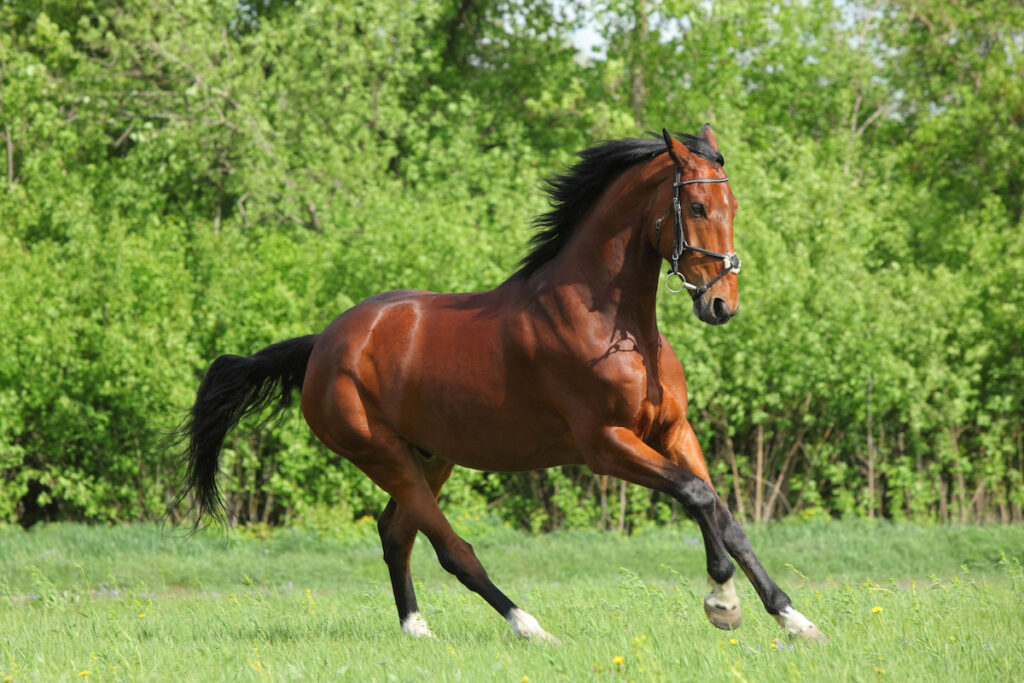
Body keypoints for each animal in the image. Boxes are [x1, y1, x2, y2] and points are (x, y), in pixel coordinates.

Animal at [176, 126, 827, 643]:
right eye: (694, 206)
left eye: (732, 203)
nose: (721, 304)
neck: (613, 323)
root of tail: (323, 345)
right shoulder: (605, 445)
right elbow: (696, 496)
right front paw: (722, 603)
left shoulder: (672, 430)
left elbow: (725, 514)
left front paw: (793, 619)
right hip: (381, 454)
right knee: (449, 549)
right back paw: (530, 627)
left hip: (432, 454)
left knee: (396, 533)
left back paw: (417, 631)